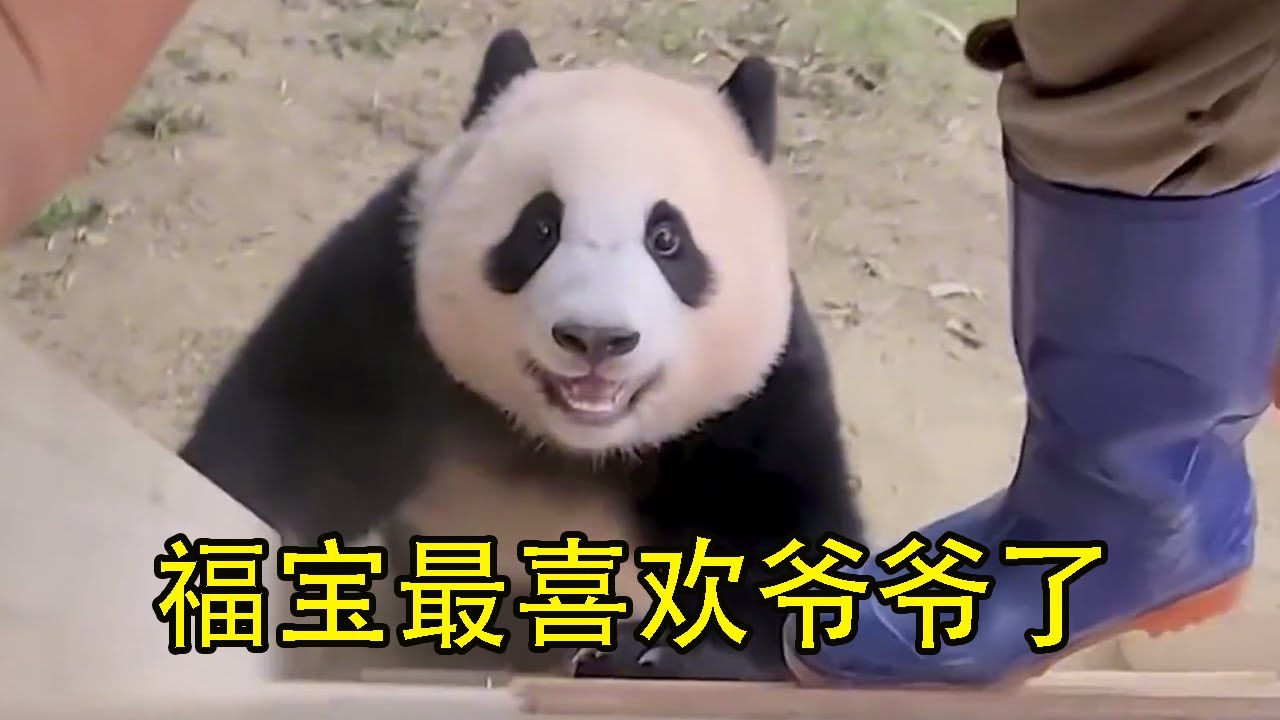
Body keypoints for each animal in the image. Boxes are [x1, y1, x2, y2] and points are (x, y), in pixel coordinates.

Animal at [178, 28, 864, 682]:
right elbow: (281, 446)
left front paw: (656, 658)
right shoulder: (386, 310)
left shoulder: (756, 396)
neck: (569, 447)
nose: (595, 337)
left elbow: (783, 543)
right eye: (540, 228)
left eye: (668, 239)